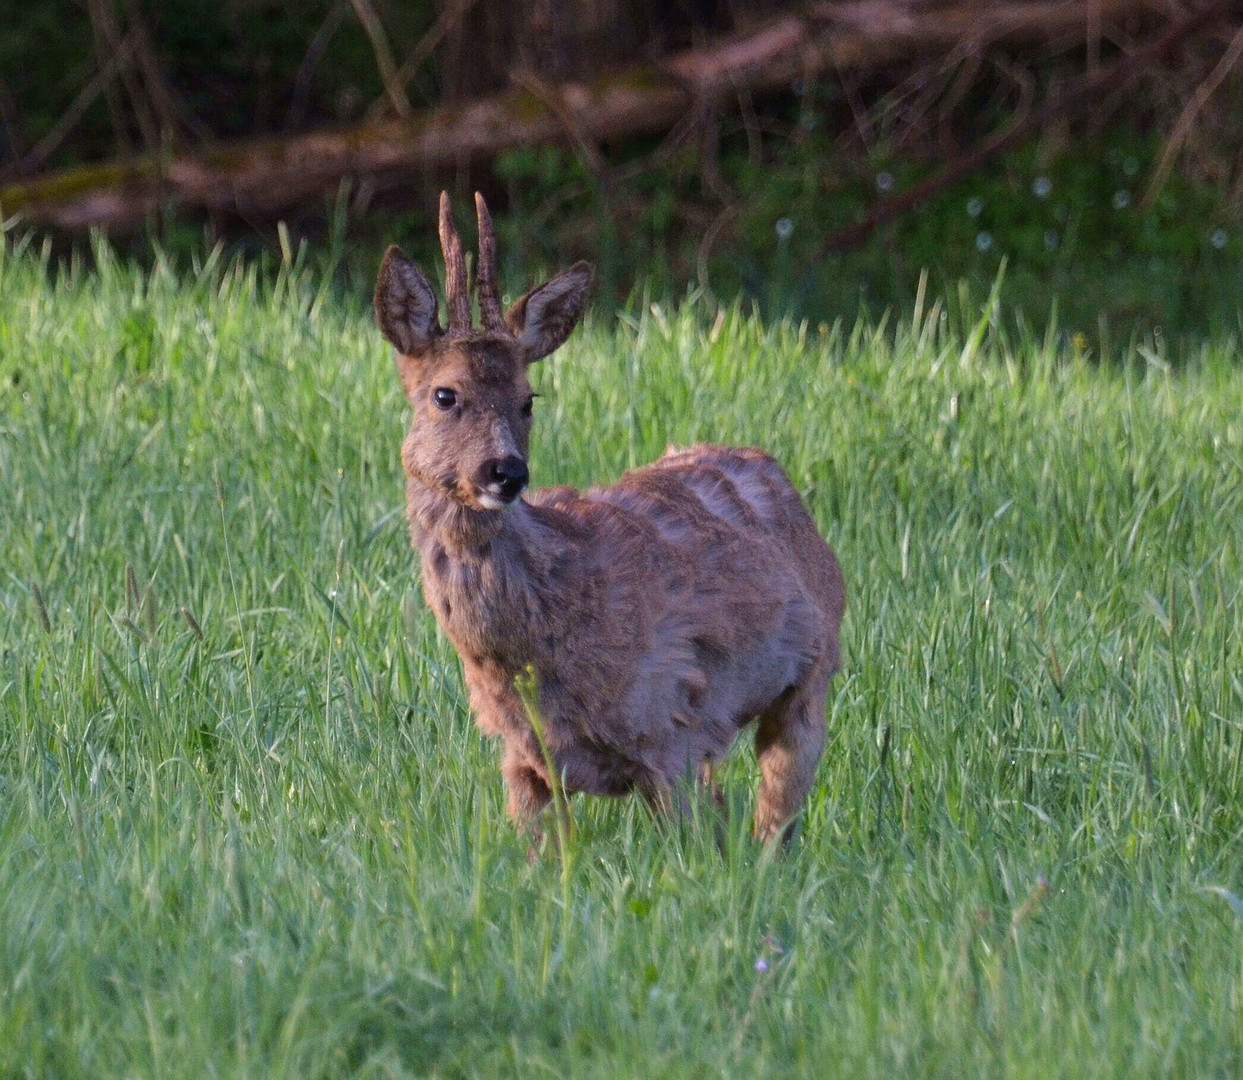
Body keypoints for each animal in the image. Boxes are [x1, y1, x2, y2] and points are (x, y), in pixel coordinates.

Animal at [375, 193, 845, 845]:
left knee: (777, 810)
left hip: (812, 676)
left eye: (528, 399)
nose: (506, 472)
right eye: (445, 395)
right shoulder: (523, 760)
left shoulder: (671, 726)